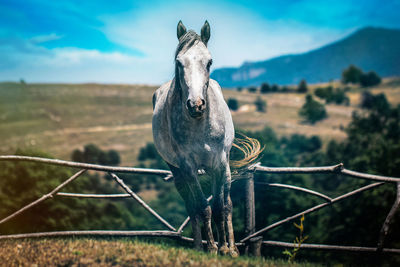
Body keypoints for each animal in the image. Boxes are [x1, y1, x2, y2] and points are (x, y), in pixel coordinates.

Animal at [152, 20, 260, 258]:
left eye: (209, 61)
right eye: (179, 62)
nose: (196, 104)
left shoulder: (219, 163)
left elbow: (221, 207)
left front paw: (228, 249)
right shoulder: (188, 167)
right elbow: (203, 207)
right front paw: (211, 248)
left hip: (220, 168)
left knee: (226, 202)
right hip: (178, 172)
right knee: (192, 207)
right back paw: (197, 246)